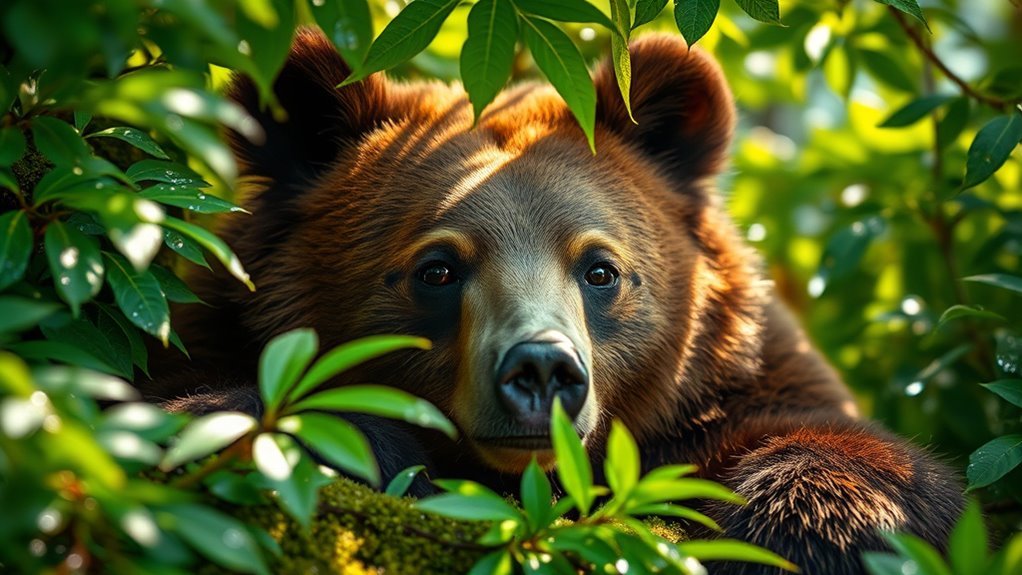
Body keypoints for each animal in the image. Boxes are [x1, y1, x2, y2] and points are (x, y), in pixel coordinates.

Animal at [146, 28, 964, 574]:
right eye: (436, 268)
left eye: (601, 269)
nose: (541, 369)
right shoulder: (204, 328)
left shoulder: (730, 382)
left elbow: (856, 461)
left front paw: (806, 528)